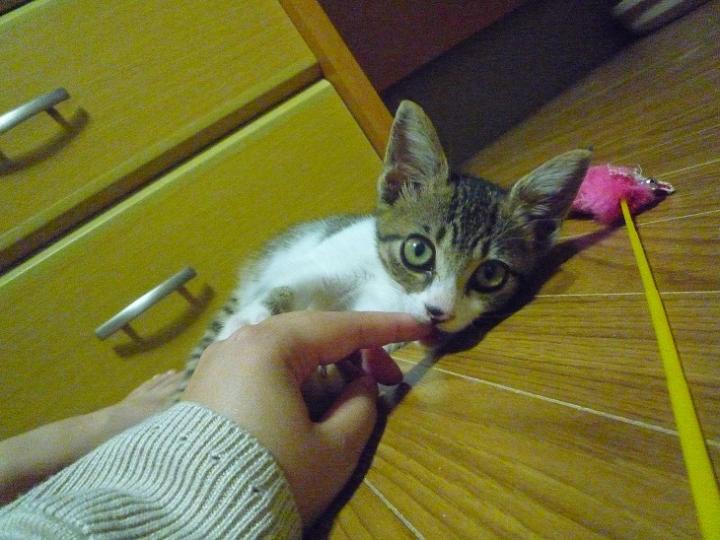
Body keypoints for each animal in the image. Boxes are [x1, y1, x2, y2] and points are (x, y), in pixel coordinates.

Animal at [182, 100, 591, 398]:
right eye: (418, 251)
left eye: (491, 273)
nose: (438, 312)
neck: (388, 286)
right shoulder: (324, 257)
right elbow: (293, 282)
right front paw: (253, 321)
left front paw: (329, 373)